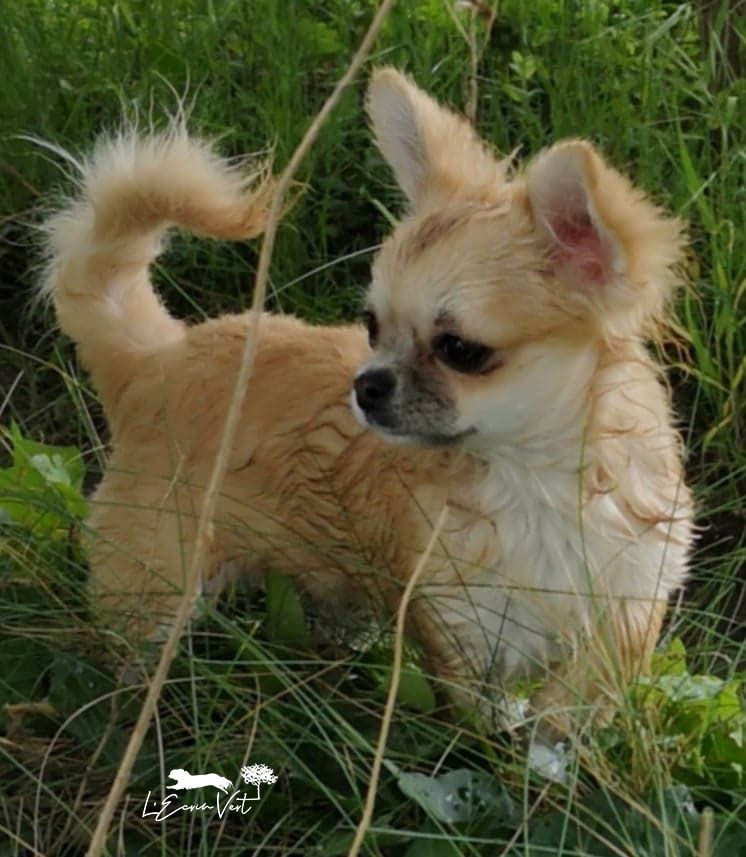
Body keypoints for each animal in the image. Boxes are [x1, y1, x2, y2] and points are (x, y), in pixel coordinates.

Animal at [42, 68, 693, 730]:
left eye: (460, 350)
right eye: (372, 326)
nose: (366, 384)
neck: (531, 480)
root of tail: (155, 355)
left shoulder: (627, 606)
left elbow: (568, 714)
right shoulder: (461, 626)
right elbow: (478, 720)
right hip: (152, 588)